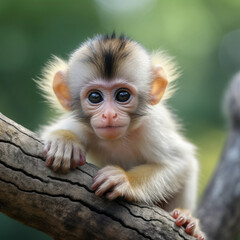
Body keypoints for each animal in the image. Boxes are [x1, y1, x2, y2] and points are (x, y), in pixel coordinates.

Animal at [38, 32, 205, 239]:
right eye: (95, 97)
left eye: (122, 95)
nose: (109, 115)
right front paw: (64, 143)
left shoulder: (152, 127)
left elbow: (181, 162)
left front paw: (124, 180)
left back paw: (189, 220)